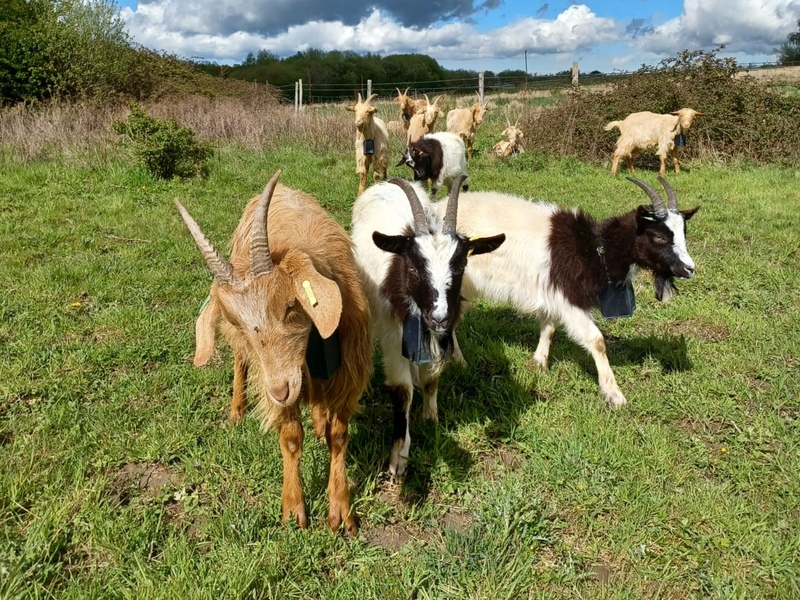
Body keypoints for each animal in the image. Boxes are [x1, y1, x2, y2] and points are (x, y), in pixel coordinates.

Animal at [175, 170, 372, 535]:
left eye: (291, 306)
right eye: (236, 321)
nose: (280, 390)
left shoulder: (349, 368)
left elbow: (339, 435)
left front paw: (341, 512)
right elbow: (292, 438)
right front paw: (293, 509)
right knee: (240, 361)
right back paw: (237, 409)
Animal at [351, 177, 505, 477]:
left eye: (461, 265)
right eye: (412, 267)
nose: (439, 317)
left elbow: (432, 378)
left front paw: (430, 416)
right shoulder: (393, 331)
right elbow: (402, 390)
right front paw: (399, 457)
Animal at [435, 176, 699, 407]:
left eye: (683, 233)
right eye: (658, 236)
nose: (689, 269)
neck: (593, 248)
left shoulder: (553, 294)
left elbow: (550, 328)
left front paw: (539, 364)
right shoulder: (569, 300)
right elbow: (596, 340)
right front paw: (614, 395)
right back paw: (459, 363)